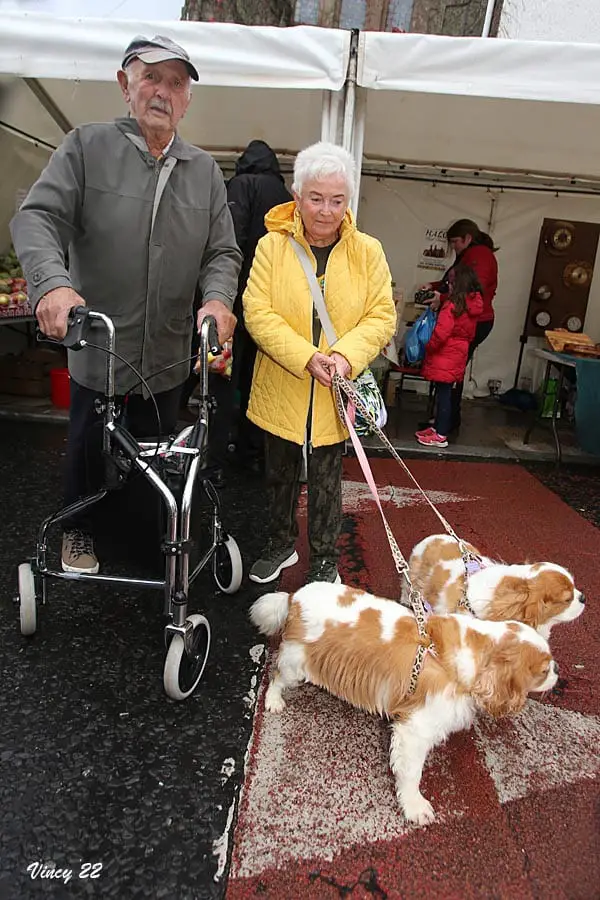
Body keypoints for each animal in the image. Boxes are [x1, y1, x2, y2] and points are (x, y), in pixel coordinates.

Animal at [250, 580, 556, 828]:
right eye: (543, 670)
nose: (557, 674)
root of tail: (294, 597)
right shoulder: (415, 730)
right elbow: (412, 773)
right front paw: (415, 806)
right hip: (295, 663)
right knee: (276, 676)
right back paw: (274, 701)